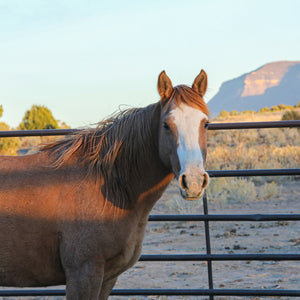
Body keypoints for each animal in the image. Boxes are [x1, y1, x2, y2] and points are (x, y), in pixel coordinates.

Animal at [0, 71, 210, 300]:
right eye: (166, 125)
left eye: (205, 124)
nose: (193, 181)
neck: (109, 186)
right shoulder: (83, 273)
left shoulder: (108, 277)